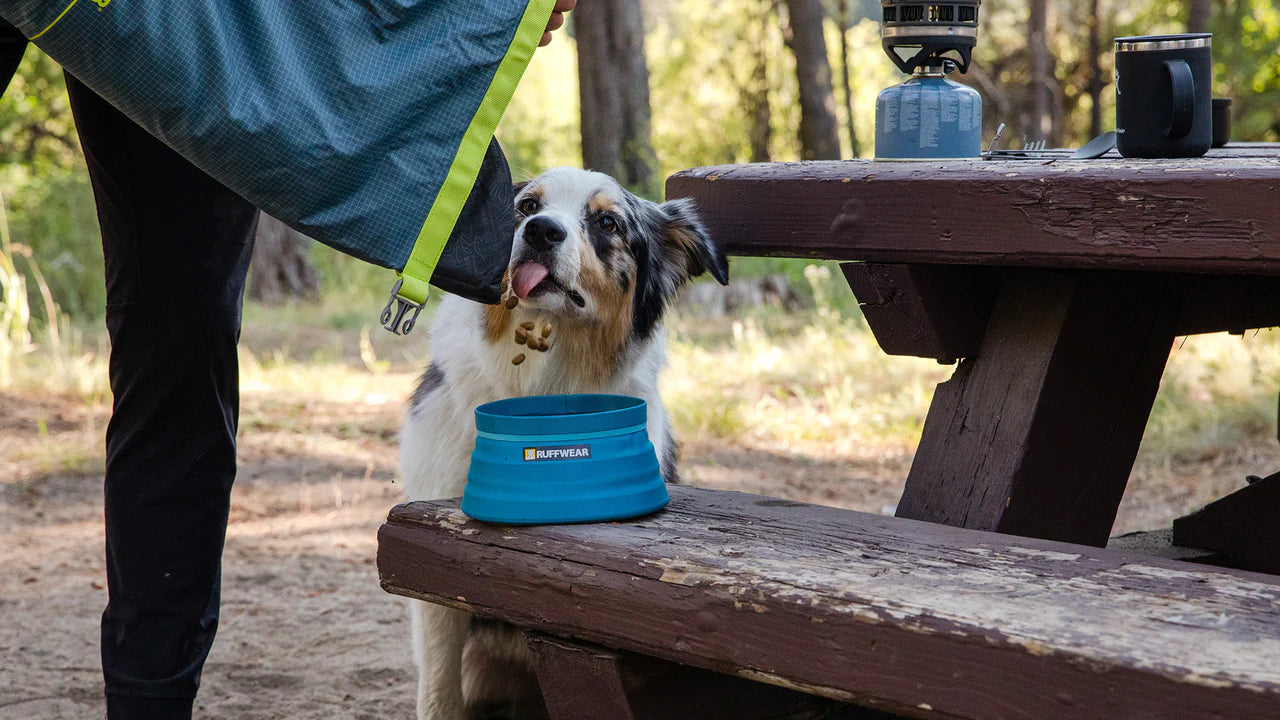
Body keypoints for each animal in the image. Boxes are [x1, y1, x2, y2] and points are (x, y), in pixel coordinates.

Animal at [396, 165, 732, 712]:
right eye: (527, 207)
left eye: (608, 223)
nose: (541, 232)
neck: (545, 374)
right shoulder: (433, 555)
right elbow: (439, 692)